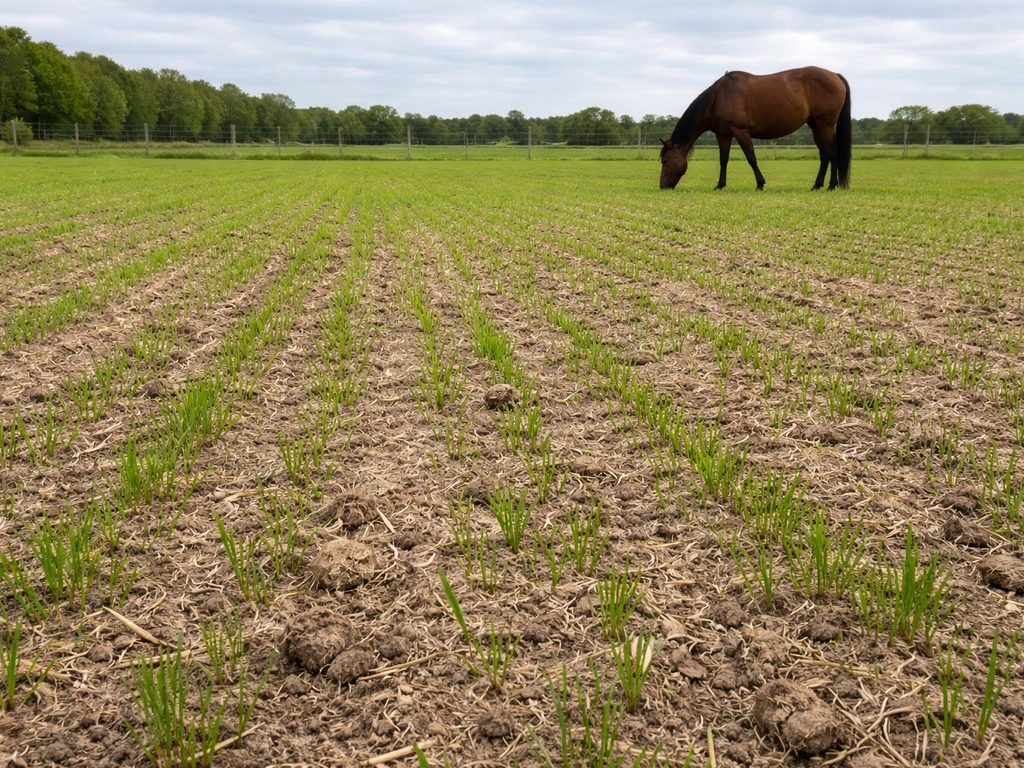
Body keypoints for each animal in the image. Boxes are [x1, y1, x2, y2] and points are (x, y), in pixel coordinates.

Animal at [659, 66, 851, 191]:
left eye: (666, 161)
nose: (662, 186)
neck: (717, 97)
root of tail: (835, 75)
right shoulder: (723, 135)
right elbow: (723, 160)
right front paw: (720, 185)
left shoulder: (740, 131)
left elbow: (751, 158)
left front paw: (760, 184)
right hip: (815, 125)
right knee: (825, 154)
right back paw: (818, 185)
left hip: (825, 125)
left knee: (831, 151)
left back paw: (830, 185)